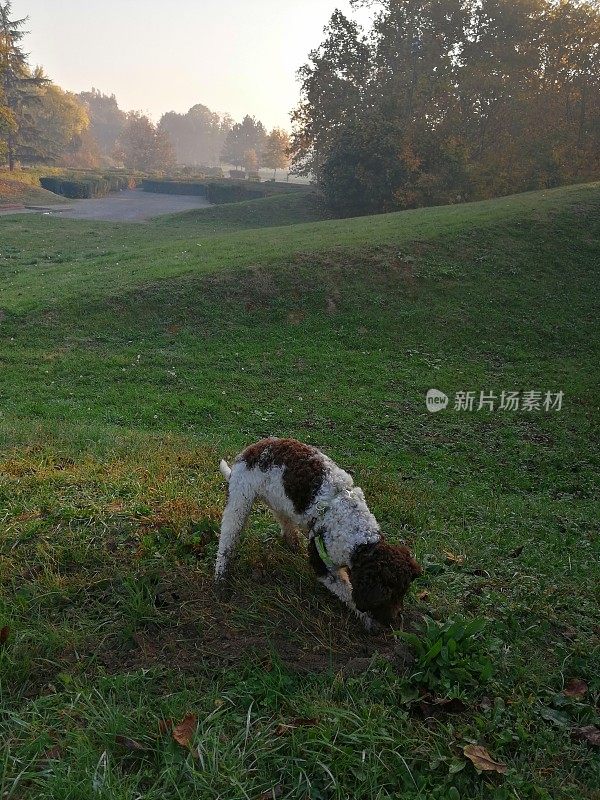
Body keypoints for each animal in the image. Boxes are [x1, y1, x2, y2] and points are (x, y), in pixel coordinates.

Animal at [217, 438, 422, 632]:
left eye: (403, 593)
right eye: (386, 596)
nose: (393, 622)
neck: (362, 541)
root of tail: (250, 450)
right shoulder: (324, 565)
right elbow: (349, 594)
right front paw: (369, 621)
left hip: (279, 500)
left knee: (284, 520)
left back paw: (293, 543)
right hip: (240, 501)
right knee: (226, 543)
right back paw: (221, 579)